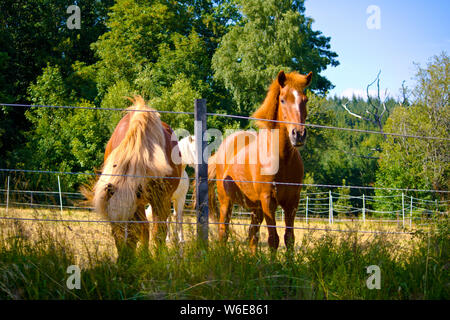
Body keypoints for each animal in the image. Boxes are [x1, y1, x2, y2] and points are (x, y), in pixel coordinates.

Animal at [90, 95, 182, 255]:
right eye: (113, 231)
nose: (124, 259)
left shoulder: (160, 199)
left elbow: (158, 232)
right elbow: (141, 230)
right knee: (144, 228)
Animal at [207, 70, 310, 252]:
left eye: (305, 100)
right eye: (283, 100)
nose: (298, 134)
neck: (282, 160)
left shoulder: (292, 202)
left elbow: (289, 238)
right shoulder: (268, 201)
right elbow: (273, 239)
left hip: (256, 209)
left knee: (252, 235)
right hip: (227, 202)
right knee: (223, 232)